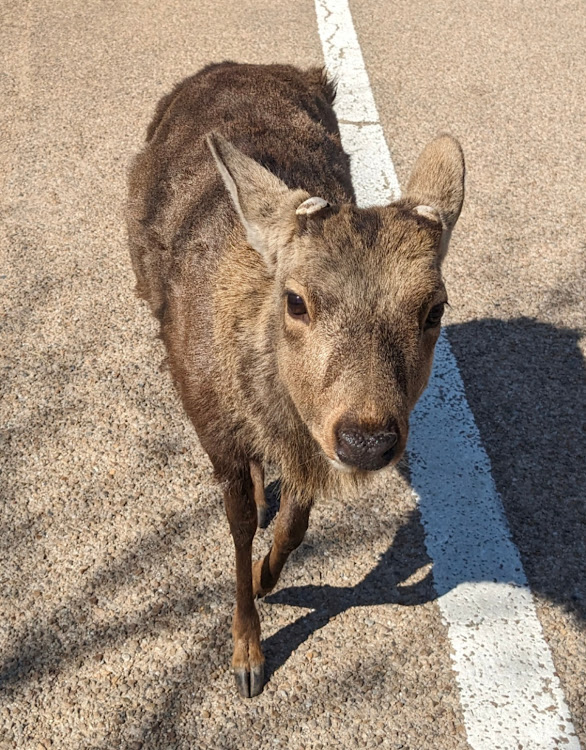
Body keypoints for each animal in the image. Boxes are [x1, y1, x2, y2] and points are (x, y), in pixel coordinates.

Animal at [125, 61, 464, 704]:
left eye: (435, 308)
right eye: (296, 300)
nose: (367, 438)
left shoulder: (313, 433)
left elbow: (300, 521)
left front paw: (268, 575)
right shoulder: (215, 431)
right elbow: (235, 530)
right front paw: (247, 655)